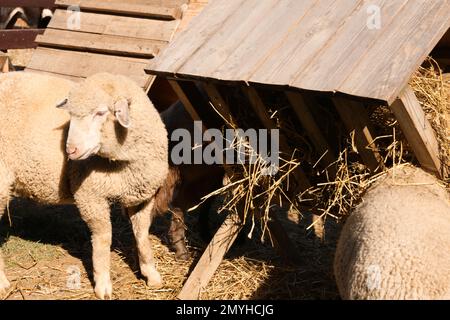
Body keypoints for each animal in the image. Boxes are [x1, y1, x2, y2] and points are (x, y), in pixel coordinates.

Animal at [0, 71, 169, 298]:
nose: (70, 150)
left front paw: (151, 275)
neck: (123, 161)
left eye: (100, 113)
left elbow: (142, 236)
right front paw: (103, 285)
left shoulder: (143, 196)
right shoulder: (91, 196)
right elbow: (103, 240)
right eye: (70, 116)